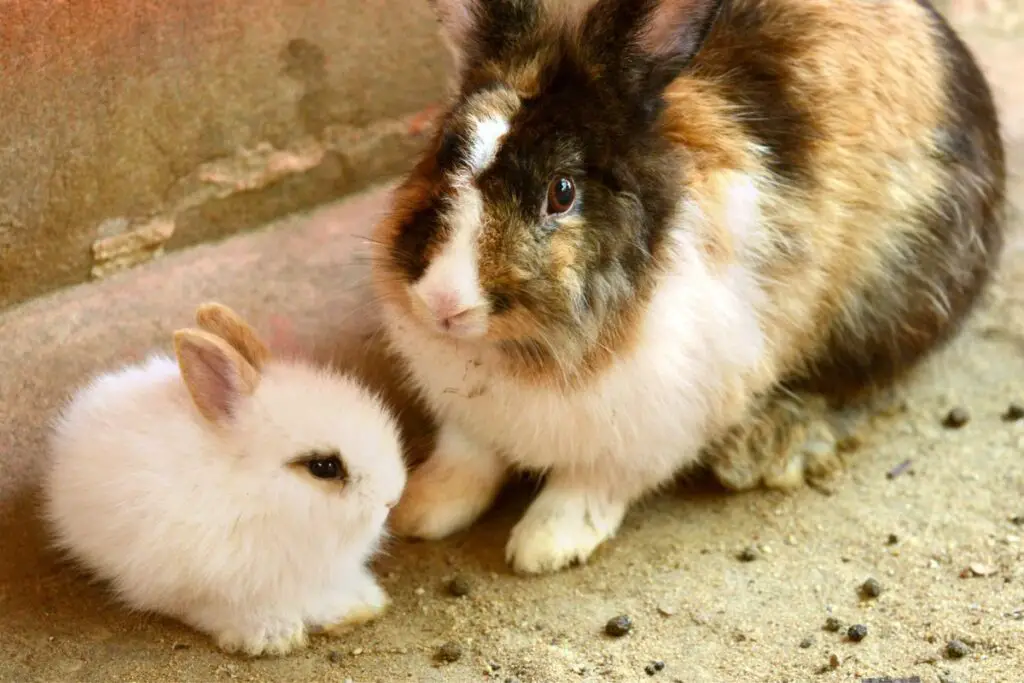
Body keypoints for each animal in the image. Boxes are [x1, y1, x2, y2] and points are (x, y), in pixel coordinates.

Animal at [369, 0, 1006, 576]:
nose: (444, 303)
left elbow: (590, 483)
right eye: (445, 153)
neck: (520, 354)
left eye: (562, 191)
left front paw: (546, 543)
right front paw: (420, 509)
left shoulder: (653, 425)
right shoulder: (467, 419)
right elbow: (468, 460)